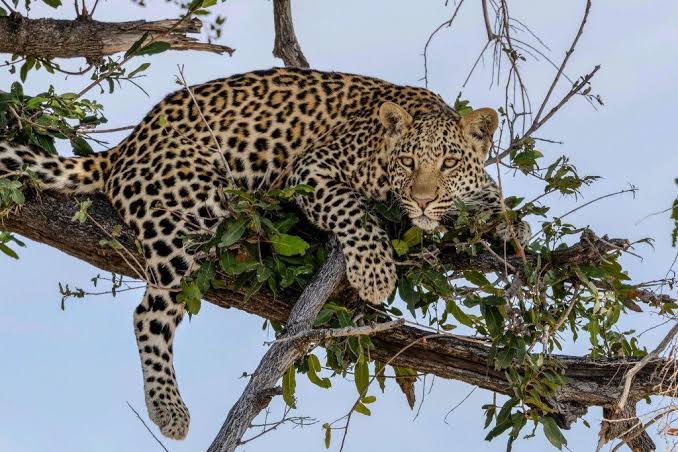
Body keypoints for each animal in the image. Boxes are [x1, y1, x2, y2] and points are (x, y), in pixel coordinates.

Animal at [0, 67, 530, 440]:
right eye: (407, 161)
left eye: (449, 163)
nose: (421, 200)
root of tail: (124, 148)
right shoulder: (313, 168)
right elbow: (355, 210)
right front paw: (375, 273)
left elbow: (494, 202)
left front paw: (513, 232)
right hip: (193, 217)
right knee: (148, 314)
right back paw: (168, 409)